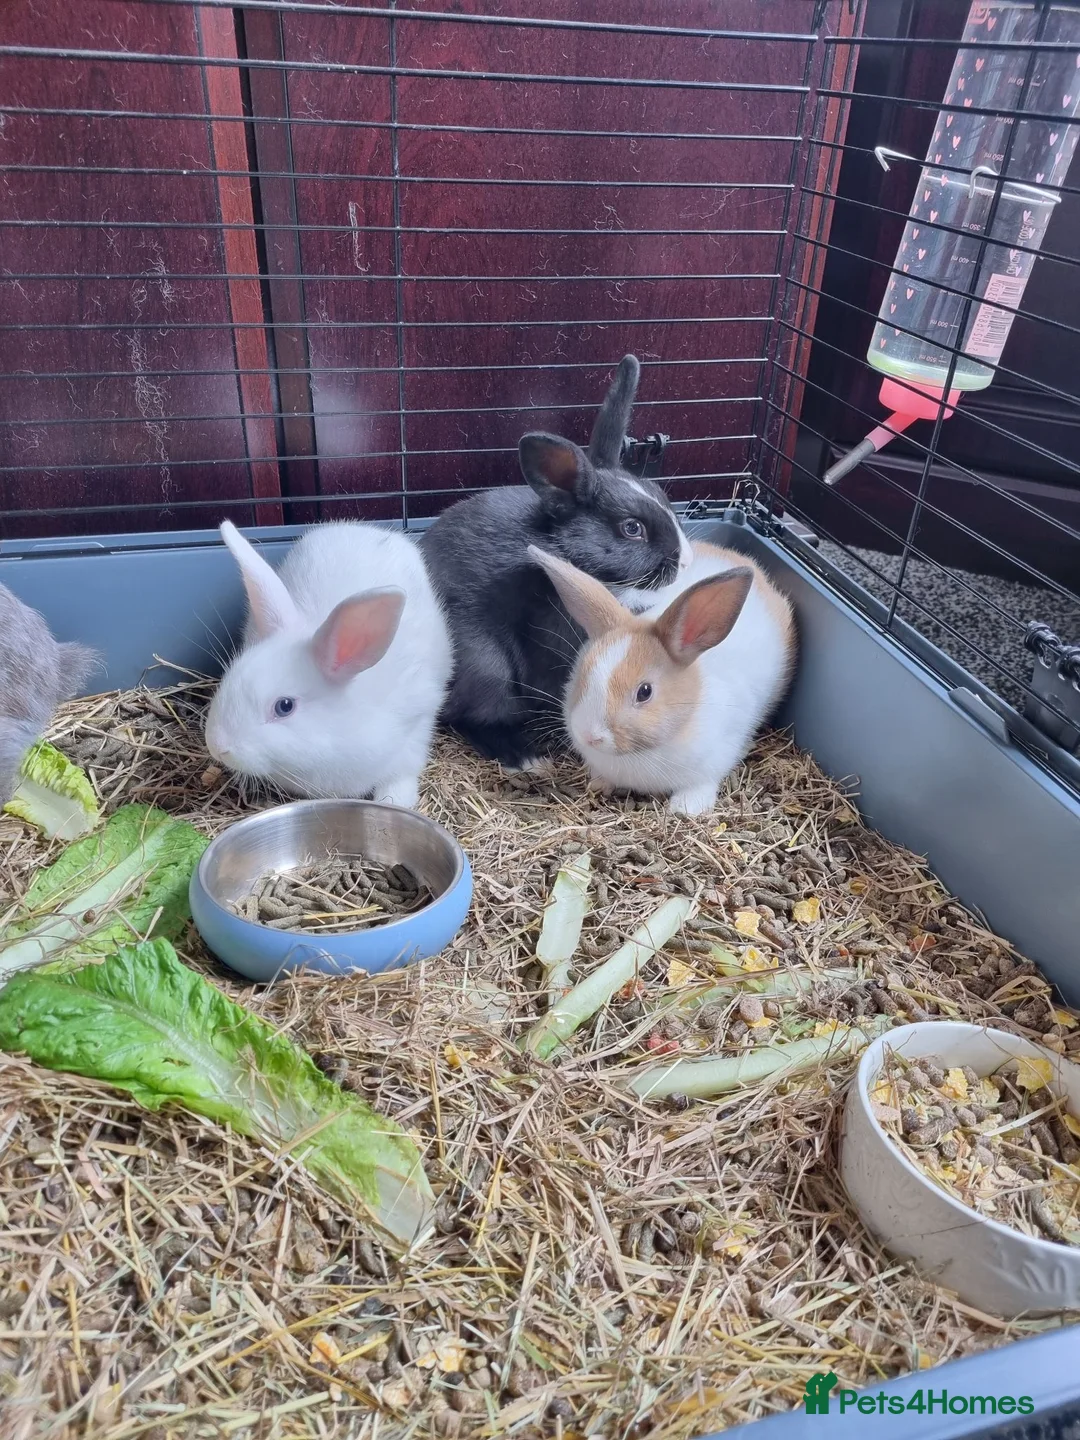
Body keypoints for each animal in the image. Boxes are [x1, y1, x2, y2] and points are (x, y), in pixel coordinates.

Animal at [204, 520, 453, 810]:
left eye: (284, 706)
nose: (216, 745)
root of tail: (367, 529)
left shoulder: (415, 730)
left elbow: (399, 778)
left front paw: (393, 801)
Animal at [420, 355, 692, 770]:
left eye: (664, 496)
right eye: (632, 528)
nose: (686, 560)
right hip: (484, 665)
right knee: (470, 716)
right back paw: (523, 755)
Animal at [528, 539, 796, 816]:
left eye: (644, 692)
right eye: (582, 674)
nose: (589, 736)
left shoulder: (716, 759)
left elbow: (702, 783)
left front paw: (686, 809)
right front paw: (599, 784)